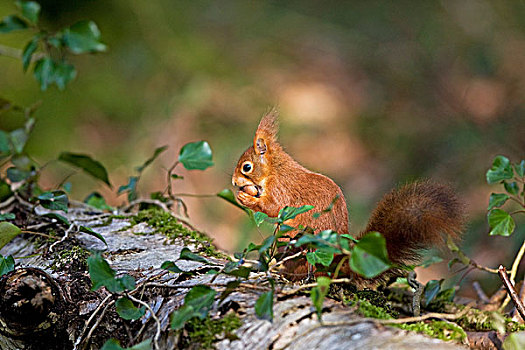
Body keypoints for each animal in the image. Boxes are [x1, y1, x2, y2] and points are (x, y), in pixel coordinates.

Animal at [230, 112, 462, 284]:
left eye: (246, 167)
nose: (233, 182)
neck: (275, 170)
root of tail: (337, 264)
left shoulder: (281, 189)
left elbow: (273, 207)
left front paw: (245, 198)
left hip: (300, 243)